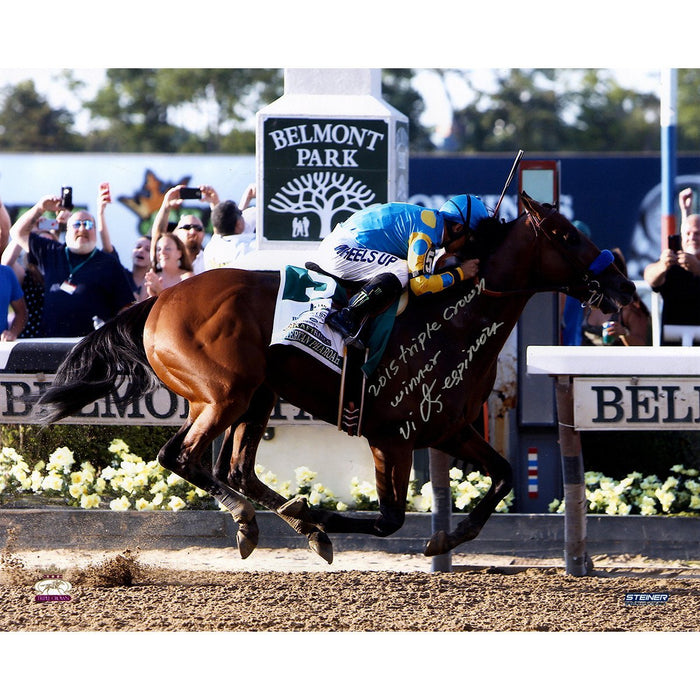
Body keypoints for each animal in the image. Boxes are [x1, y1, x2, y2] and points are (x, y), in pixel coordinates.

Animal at [41, 193, 636, 564]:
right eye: (563, 234)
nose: (624, 285)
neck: (453, 321)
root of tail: (157, 300)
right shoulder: (391, 437)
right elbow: (390, 518)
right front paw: (317, 513)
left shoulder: (448, 429)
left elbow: (507, 474)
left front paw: (449, 538)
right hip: (224, 393)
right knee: (181, 457)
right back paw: (263, 520)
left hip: (255, 395)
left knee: (236, 470)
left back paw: (277, 523)